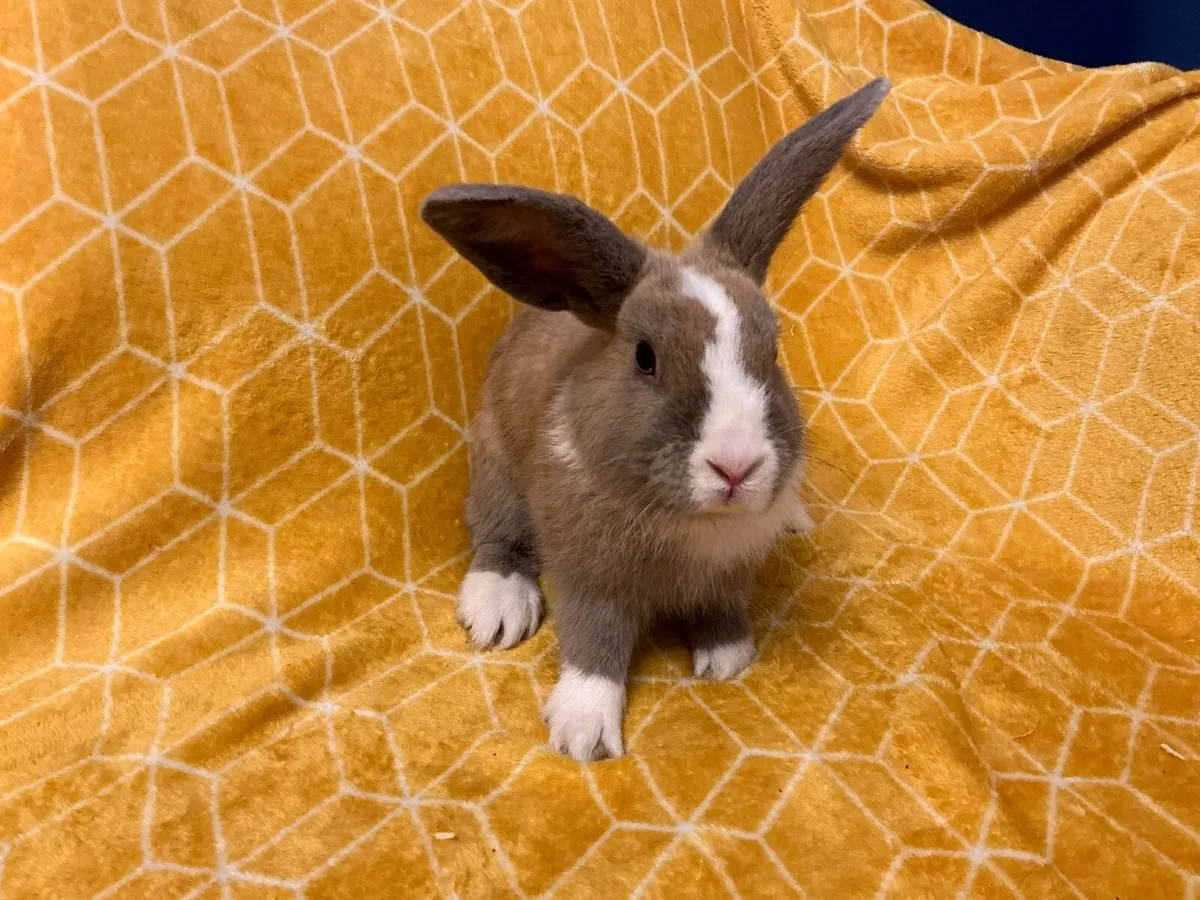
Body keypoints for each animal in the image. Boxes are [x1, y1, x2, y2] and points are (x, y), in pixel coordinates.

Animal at [420, 77, 890, 761]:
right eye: (645, 357)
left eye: (774, 352)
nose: (736, 466)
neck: (690, 525)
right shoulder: (588, 576)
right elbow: (595, 640)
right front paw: (583, 731)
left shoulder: (730, 574)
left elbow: (722, 611)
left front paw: (727, 657)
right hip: (495, 465)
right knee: (496, 533)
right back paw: (498, 607)